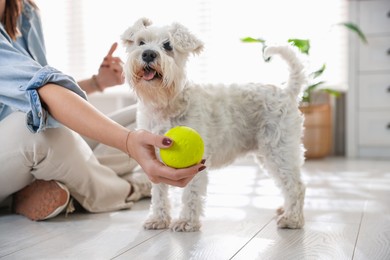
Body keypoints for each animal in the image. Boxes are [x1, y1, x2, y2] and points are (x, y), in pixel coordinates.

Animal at [122, 18, 308, 232]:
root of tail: (287, 91)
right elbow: (159, 192)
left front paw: (186, 222)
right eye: (141, 42)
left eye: (168, 45)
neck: (167, 104)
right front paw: (158, 219)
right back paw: (285, 210)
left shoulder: (197, 164)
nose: (148, 54)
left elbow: (191, 193)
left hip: (279, 150)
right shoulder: (155, 159)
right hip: (268, 153)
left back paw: (292, 219)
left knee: (296, 185)